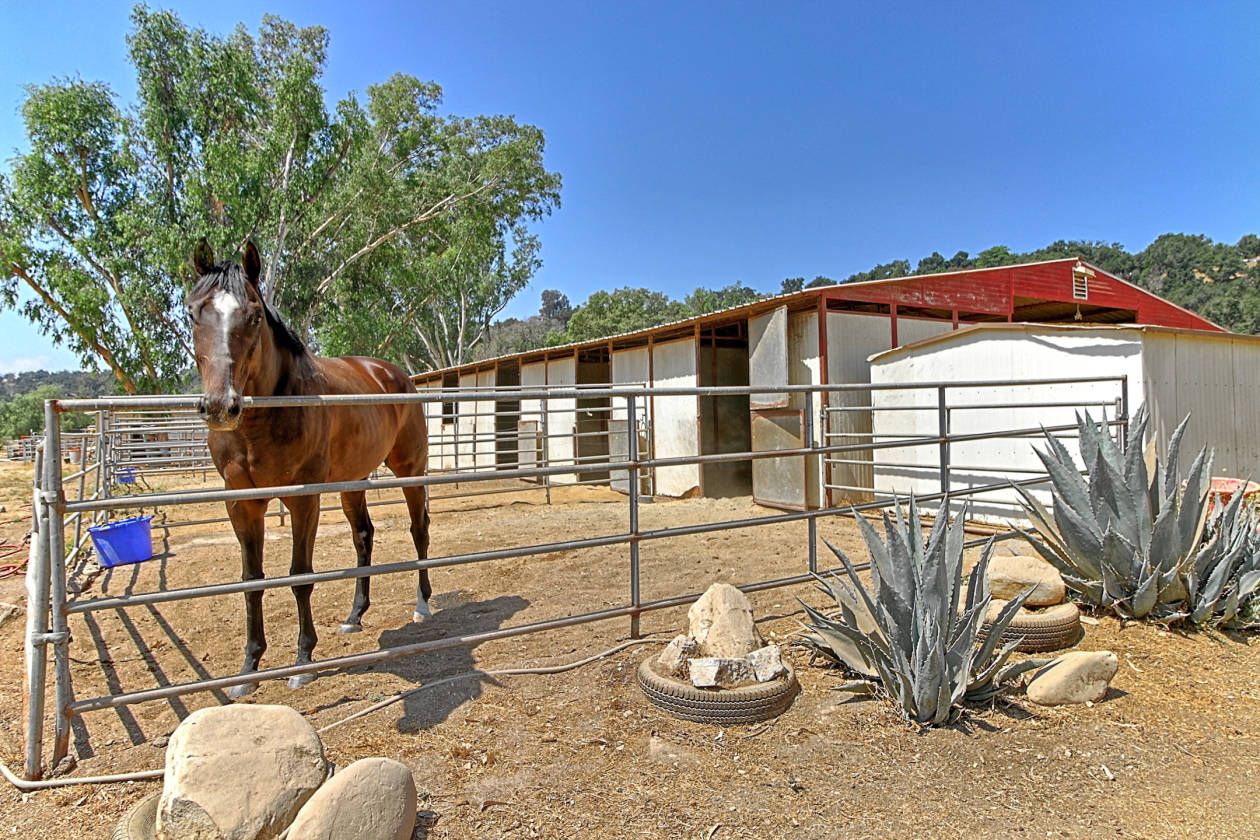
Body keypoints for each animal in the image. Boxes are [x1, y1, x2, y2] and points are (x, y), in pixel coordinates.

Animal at [185, 239, 433, 700]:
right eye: (193, 312)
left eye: (254, 316)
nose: (220, 406)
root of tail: (391, 372)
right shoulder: (241, 504)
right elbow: (251, 580)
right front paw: (248, 670)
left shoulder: (304, 499)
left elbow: (300, 576)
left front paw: (303, 662)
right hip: (353, 481)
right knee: (363, 536)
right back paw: (354, 616)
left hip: (411, 469)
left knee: (418, 530)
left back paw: (423, 604)